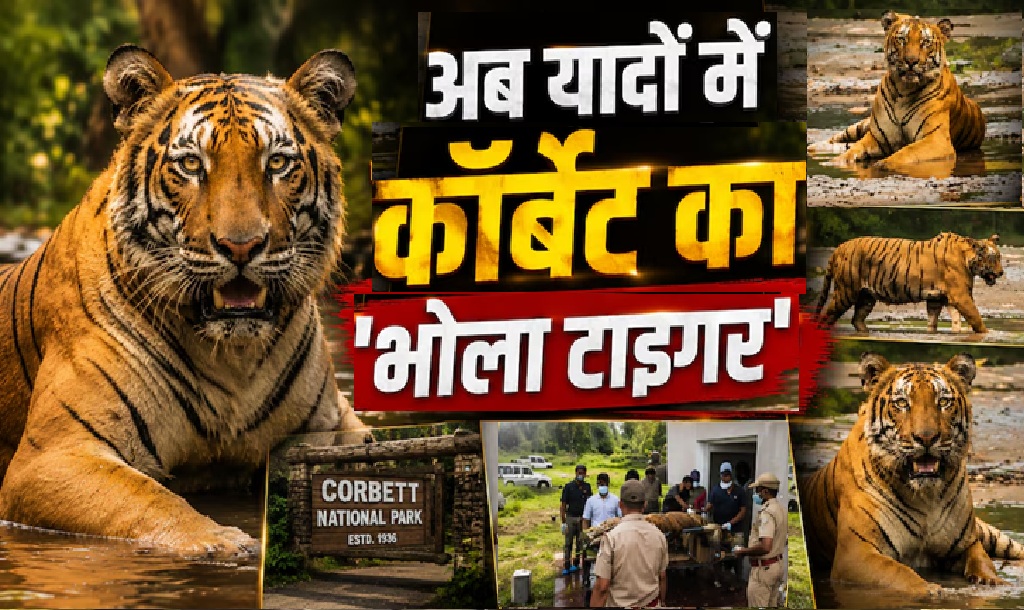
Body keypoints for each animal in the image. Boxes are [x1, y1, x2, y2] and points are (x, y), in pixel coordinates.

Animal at [0, 45, 369, 557]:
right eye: (192, 165)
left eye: (277, 163)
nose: (241, 246)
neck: (234, 359)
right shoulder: (54, 455)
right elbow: (148, 498)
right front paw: (226, 543)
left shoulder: (338, 426)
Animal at [800, 352, 1024, 597]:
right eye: (902, 403)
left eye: (943, 402)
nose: (926, 437)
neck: (926, 498)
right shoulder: (856, 553)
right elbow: (899, 572)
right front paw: (931, 590)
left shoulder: (968, 544)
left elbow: (983, 562)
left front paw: (995, 583)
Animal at [813, 11, 986, 174]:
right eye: (902, 39)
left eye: (925, 42)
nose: (911, 61)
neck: (904, 89)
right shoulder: (876, 136)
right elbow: (853, 150)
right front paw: (834, 162)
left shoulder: (936, 140)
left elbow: (906, 151)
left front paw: (883, 163)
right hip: (862, 125)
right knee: (837, 139)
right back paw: (814, 146)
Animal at [814, 232, 1003, 334]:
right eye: (993, 257)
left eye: (999, 256)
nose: (1001, 272)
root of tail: (839, 248)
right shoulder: (961, 295)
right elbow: (975, 317)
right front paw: (987, 334)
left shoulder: (936, 298)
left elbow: (934, 321)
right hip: (846, 292)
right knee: (828, 315)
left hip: (866, 296)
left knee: (857, 319)